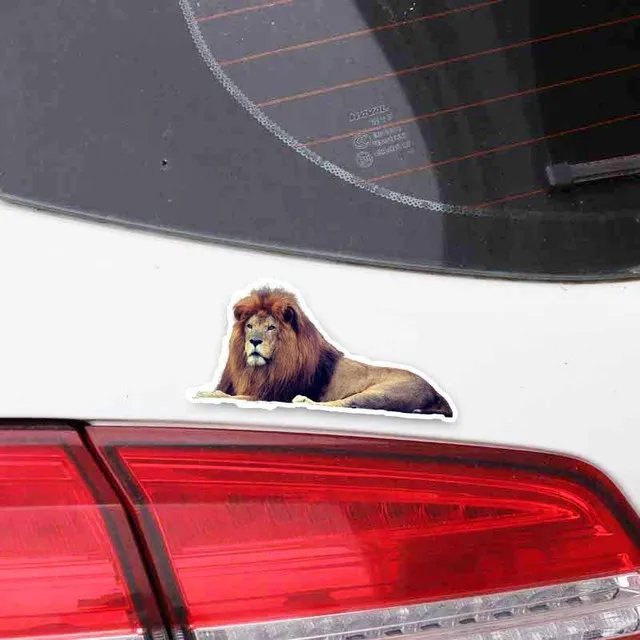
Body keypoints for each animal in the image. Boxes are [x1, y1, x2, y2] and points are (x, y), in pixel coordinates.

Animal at [196, 287, 453, 418]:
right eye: (249, 326)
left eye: (270, 327)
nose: (254, 341)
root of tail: (437, 393)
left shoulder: (271, 394)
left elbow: (228, 396)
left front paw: (204, 393)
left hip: (383, 392)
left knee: (344, 404)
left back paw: (303, 401)